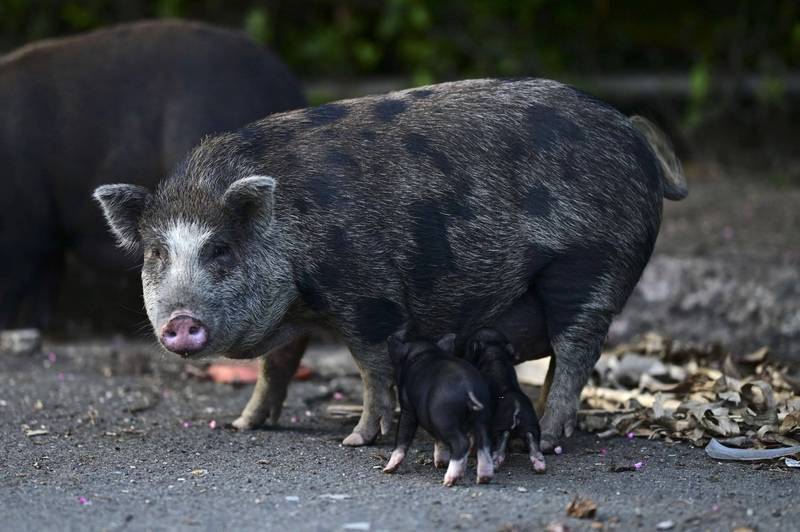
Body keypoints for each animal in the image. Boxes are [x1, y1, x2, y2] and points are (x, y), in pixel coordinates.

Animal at [95, 79, 688, 454]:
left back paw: (553, 430)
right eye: (156, 253)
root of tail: (632, 131)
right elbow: (276, 366)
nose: (180, 322)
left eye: (219, 249)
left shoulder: (368, 293)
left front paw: (356, 438)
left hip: (589, 264)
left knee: (577, 349)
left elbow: (372, 368)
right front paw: (243, 426)